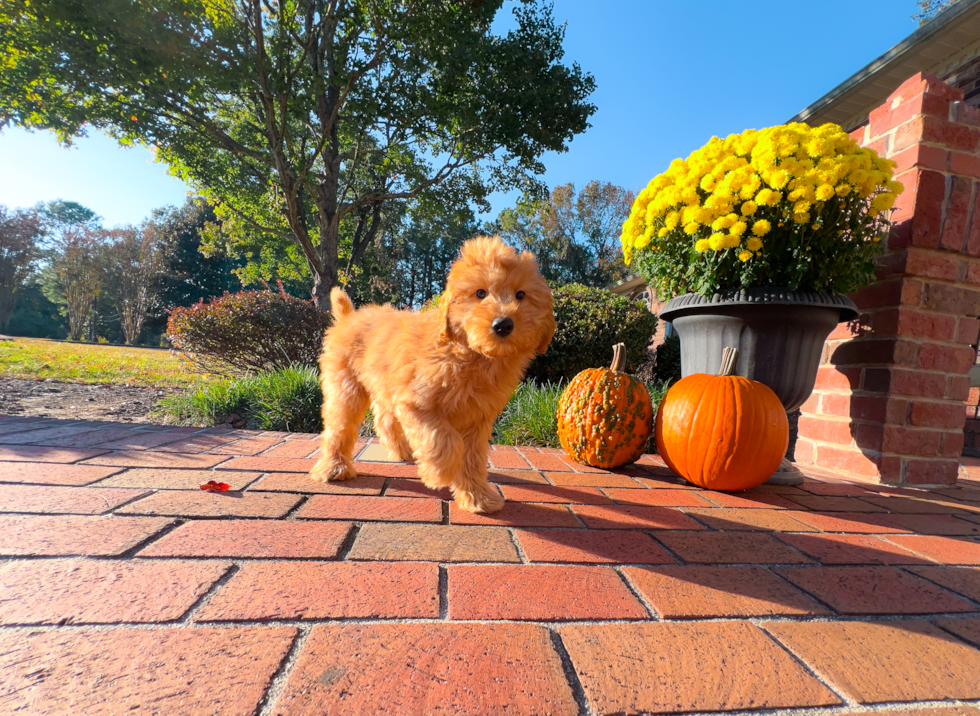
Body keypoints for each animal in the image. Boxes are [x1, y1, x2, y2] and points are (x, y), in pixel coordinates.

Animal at [314, 238, 560, 512]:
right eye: (480, 293)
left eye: (521, 295)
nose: (503, 324)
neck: (471, 356)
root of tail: (349, 317)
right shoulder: (416, 402)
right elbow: (443, 438)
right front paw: (440, 472)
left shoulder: (478, 417)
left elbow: (472, 458)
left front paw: (477, 497)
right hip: (345, 386)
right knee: (339, 426)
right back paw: (335, 468)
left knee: (384, 420)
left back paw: (403, 452)